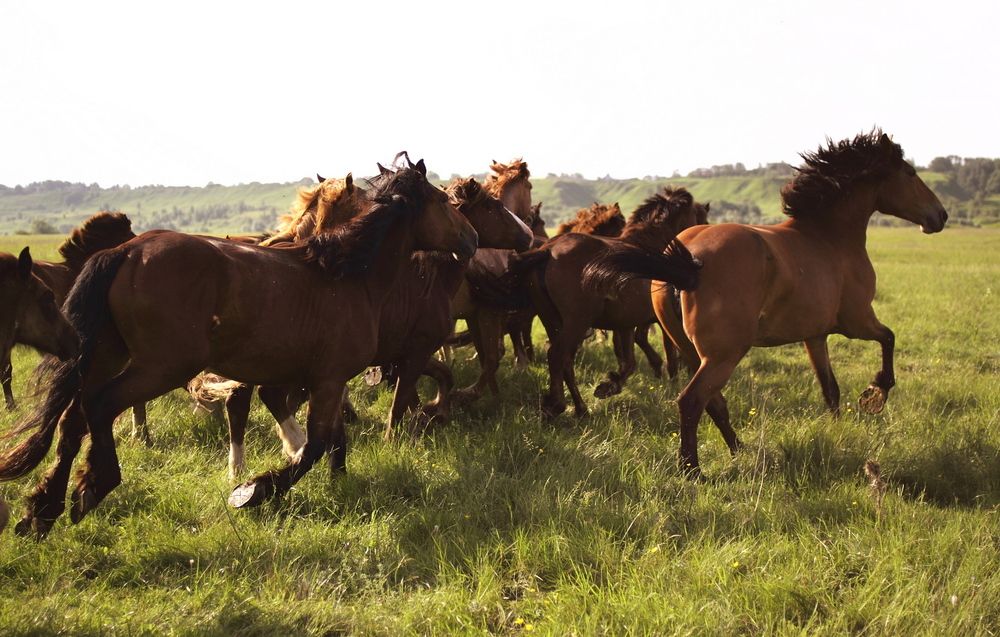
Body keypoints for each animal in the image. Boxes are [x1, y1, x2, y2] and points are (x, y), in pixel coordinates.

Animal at [512, 188, 705, 419]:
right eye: (697, 216)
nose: (697, 259)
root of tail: (548, 251)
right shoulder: (658, 320)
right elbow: (666, 354)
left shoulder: (626, 324)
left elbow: (629, 362)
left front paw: (609, 386)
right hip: (577, 322)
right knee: (557, 355)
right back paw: (556, 405)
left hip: (552, 321)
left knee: (564, 359)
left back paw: (580, 408)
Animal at [584, 131, 948, 475]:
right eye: (911, 173)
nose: (941, 216)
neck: (828, 240)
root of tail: (688, 260)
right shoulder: (857, 320)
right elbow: (888, 339)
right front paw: (875, 394)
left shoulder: (815, 335)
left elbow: (830, 389)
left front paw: (839, 431)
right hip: (724, 354)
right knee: (692, 400)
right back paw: (693, 470)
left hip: (691, 350)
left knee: (713, 402)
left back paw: (740, 450)